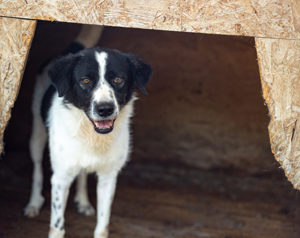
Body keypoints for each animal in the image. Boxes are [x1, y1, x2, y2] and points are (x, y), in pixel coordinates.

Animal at [24, 24, 152, 238]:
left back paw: (83, 201)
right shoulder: (61, 178)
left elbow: (102, 225)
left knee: (82, 173)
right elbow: (57, 226)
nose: (105, 109)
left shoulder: (109, 177)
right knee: (36, 167)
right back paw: (34, 202)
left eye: (118, 79)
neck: (92, 135)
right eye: (85, 81)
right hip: (37, 134)